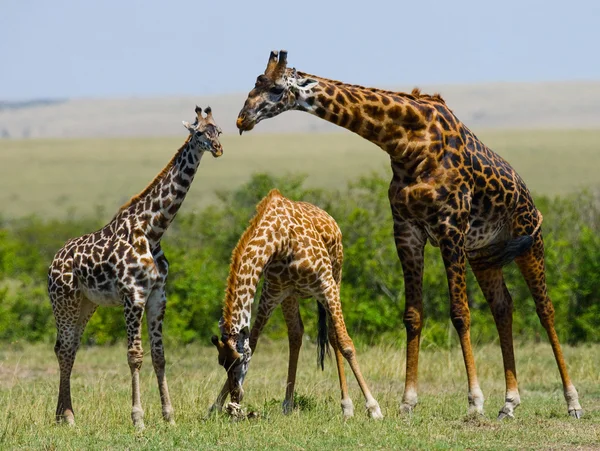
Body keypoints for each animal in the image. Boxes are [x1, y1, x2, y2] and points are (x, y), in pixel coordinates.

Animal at [47, 107, 224, 430]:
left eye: (218, 130)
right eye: (198, 132)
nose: (217, 148)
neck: (152, 230)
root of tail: (53, 261)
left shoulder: (157, 296)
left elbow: (159, 355)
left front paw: (169, 416)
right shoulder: (133, 295)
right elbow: (134, 355)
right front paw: (138, 419)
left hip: (86, 304)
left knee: (70, 347)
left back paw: (62, 414)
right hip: (63, 301)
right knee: (64, 349)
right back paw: (67, 417)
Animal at [209, 188, 382, 420]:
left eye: (238, 360)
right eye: (221, 362)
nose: (236, 396)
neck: (280, 240)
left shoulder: (326, 284)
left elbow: (346, 344)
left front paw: (373, 407)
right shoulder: (272, 293)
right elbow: (253, 341)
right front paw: (217, 406)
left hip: (336, 278)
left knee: (334, 336)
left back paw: (346, 405)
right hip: (291, 296)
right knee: (296, 335)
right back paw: (288, 403)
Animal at [232, 49, 584, 420]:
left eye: (274, 89)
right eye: (256, 81)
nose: (242, 120)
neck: (405, 142)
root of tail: (531, 199)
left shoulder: (450, 227)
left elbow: (460, 313)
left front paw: (475, 402)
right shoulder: (406, 229)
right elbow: (413, 315)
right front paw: (407, 401)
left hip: (530, 241)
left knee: (545, 309)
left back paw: (572, 401)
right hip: (483, 256)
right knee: (503, 307)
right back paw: (509, 402)